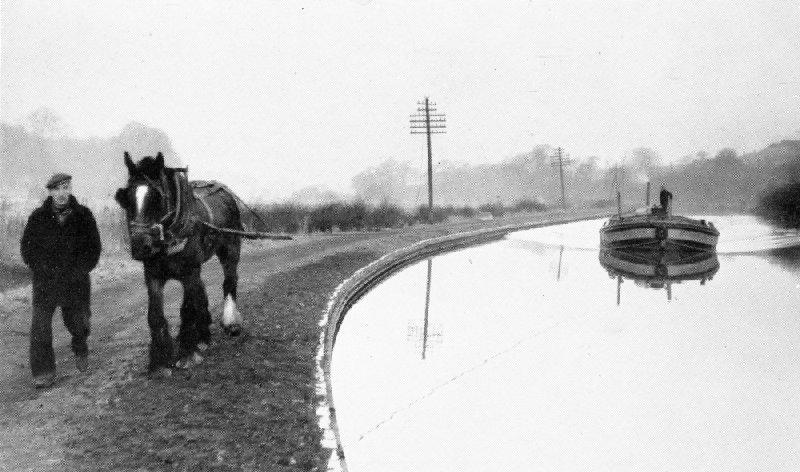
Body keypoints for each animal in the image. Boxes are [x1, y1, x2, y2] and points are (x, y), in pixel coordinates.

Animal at [115, 153, 247, 374]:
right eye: (128, 199)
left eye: (157, 198)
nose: (141, 246)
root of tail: (224, 192)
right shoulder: (153, 275)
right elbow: (154, 315)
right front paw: (159, 361)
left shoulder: (188, 272)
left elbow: (187, 309)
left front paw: (187, 354)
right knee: (201, 291)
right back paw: (203, 335)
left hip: (230, 247)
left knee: (230, 280)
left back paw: (230, 322)